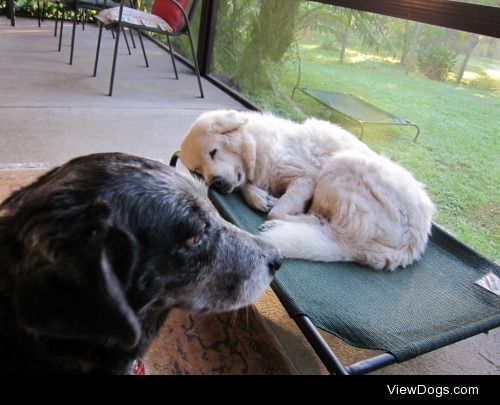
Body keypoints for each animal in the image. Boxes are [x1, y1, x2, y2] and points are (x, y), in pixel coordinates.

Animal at [180, 109, 434, 270]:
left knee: (330, 227)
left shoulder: (306, 178)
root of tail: (412, 246)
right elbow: (251, 187)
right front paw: (260, 197)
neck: (259, 144)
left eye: (213, 152)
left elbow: (276, 207)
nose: (216, 183)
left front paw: (268, 203)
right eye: (198, 171)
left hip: (341, 167)